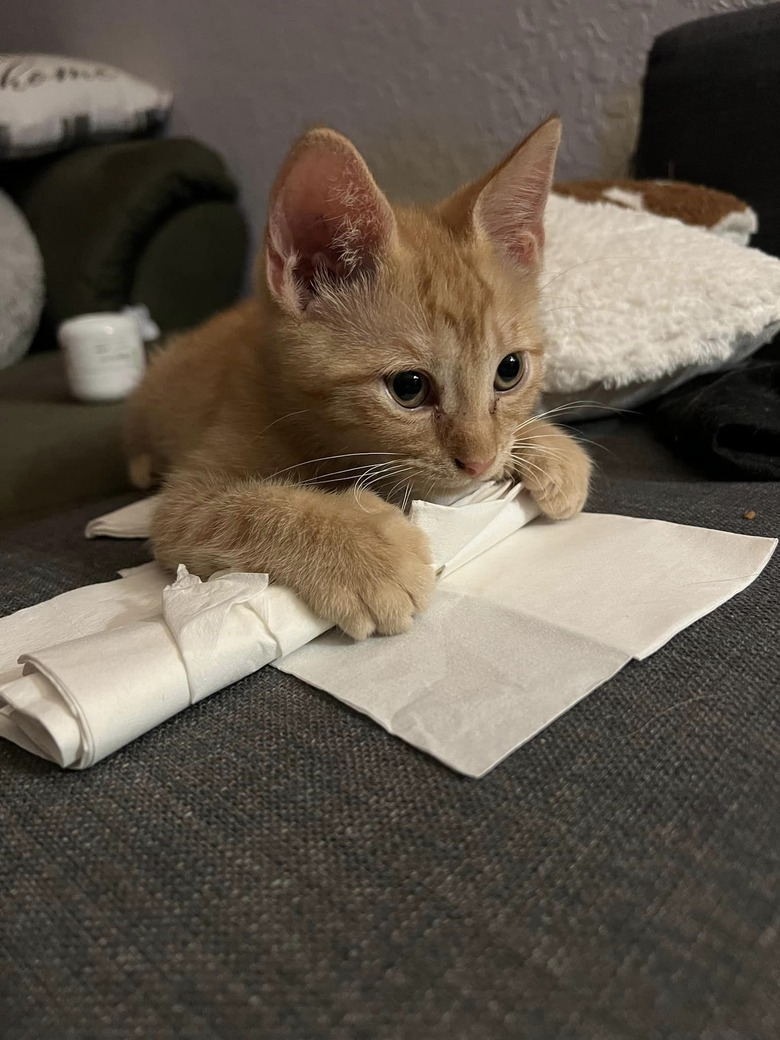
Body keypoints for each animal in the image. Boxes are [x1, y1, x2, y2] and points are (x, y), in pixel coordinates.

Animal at [126, 113, 590, 632]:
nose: (479, 463)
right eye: (409, 388)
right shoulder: (184, 504)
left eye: (509, 370)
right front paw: (366, 553)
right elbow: (245, 510)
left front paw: (549, 448)